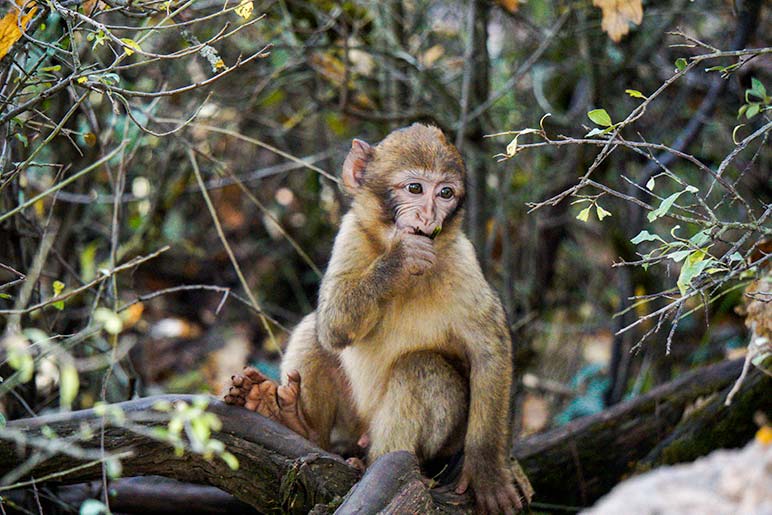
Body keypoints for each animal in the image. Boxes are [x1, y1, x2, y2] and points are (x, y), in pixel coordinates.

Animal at [226, 123, 520, 512]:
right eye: (415, 188)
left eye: (445, 193)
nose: (428, 217)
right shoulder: (350, 234)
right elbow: (332, 325)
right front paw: (400, 259)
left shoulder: (463, 263)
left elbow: (489, 352)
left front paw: (487, 470)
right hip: (351, 419)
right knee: (314, 331)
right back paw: (299, 424)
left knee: (420, 368)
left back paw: (377, 465)